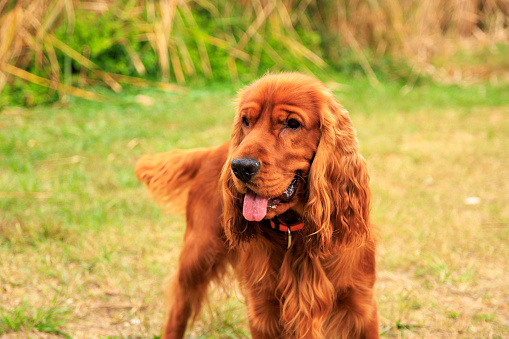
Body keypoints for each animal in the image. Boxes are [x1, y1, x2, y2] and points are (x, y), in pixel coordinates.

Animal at [135, 73, 378, 338]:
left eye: (292, 123)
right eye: (246, 121)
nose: (240, 167)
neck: (294, 231)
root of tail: (212, 151)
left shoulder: (361, 308)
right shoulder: (263, 311)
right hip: (197, 255)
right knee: (178, 308)